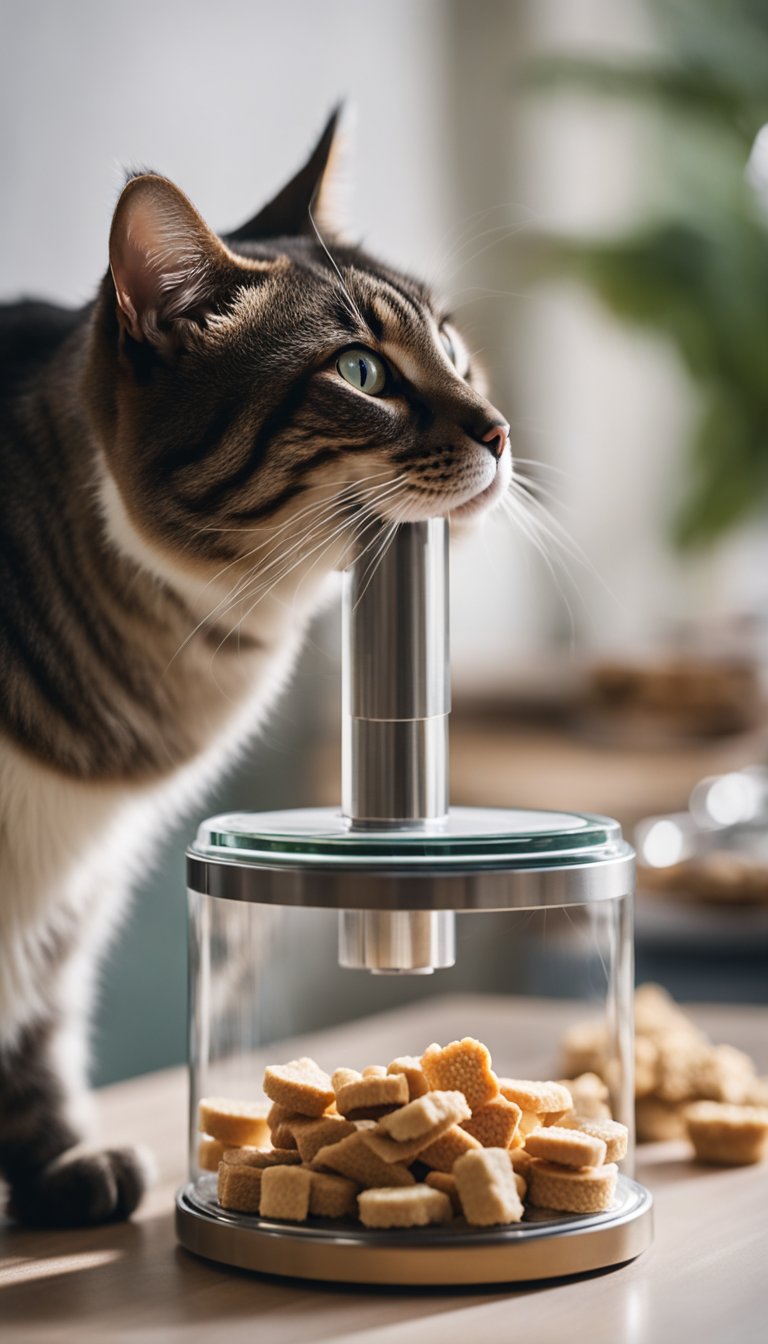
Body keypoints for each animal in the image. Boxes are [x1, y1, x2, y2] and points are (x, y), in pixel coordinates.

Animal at [0, 112, 511, 1231]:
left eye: (454, 347)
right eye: (361, 373)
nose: (502, 432)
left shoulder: (81, 877)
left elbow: (40, 1022)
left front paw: (62, 1166)